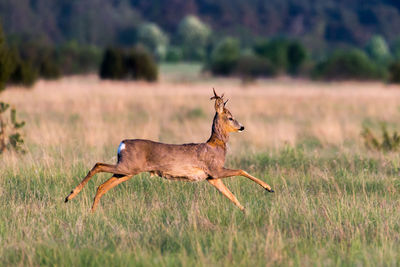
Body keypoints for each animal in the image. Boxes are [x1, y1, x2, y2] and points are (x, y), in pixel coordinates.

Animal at [64, 90, 274, 214]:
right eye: (230, 117)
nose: (242, 127)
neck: (215, 145)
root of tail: (122, 144)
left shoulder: (211, 177)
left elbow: (230, 194)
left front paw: (244, 210)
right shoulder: (215, 169)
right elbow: (241, 170)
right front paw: (269, 188)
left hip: (127, 170)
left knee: (102, 185)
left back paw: (91, 212)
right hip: (127, 167)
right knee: (98, 165)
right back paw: (69, 196)